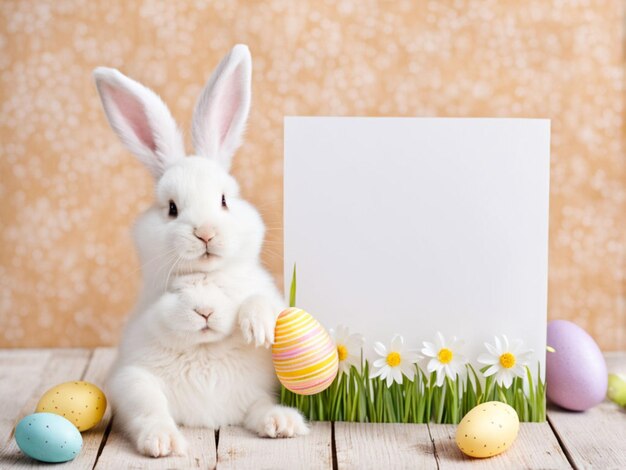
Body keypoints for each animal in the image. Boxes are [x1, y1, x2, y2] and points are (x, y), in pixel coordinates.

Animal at [93, 46, 308, 458]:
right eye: (172, 208)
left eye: (224, 200)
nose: (205, 233)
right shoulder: (131, 379)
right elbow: (148, 407)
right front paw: (162, 443)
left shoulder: (262, 363)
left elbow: (262, 303)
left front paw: (257, 330)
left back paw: (282, 422)